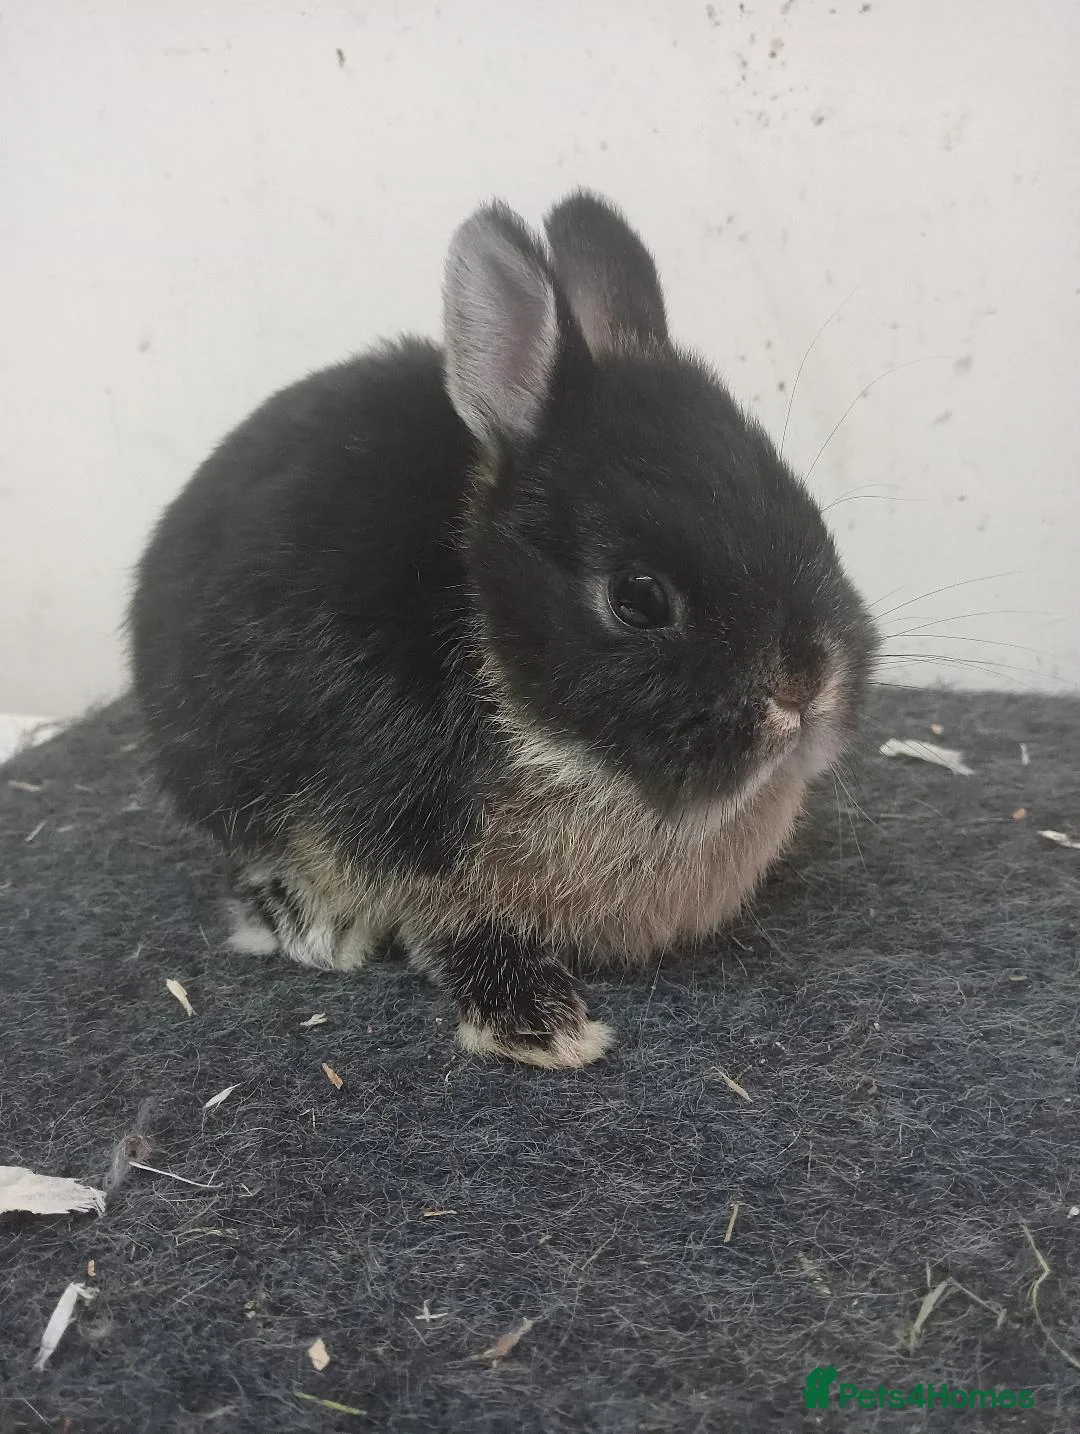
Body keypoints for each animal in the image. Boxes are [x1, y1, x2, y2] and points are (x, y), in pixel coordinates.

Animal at [128, 190, 878, 1068]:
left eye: (806, 513)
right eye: (638, 598)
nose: (806, 684)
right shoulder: (410, 853)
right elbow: (453, 931)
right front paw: (543, 1027)